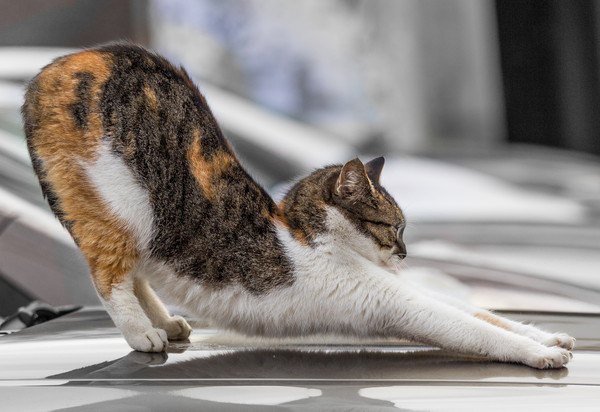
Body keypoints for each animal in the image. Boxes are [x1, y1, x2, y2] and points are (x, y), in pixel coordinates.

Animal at [23, 43, 576, 368]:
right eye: (393, 227)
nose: (404, 255)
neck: (310, 235)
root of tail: (61, 63)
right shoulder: (393, 301)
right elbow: (469, 327)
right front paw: (537, 353)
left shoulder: (399, 289)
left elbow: (482, 313)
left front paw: (548, 336)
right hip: (120, 203)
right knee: (109, 271)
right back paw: (143, 333)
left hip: (144, 223)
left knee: (135, 270)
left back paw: (165, 322)